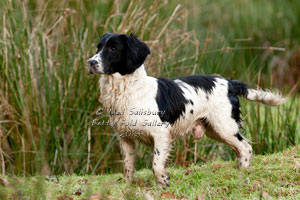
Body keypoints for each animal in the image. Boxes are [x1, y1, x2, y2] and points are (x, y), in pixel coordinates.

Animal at [87, 32, 286, 188]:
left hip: (225, 126)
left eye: (113, 49)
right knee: (240, 148)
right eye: (98, 48)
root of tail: (230, 82)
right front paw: (127, 187)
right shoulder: (126, 138)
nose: (90, 62)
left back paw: (242, 173)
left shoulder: (161, 134)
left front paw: (163, 182)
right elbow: (128, 166)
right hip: (215, 130)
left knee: (245, 147)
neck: (128, 90)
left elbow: (156, 164)